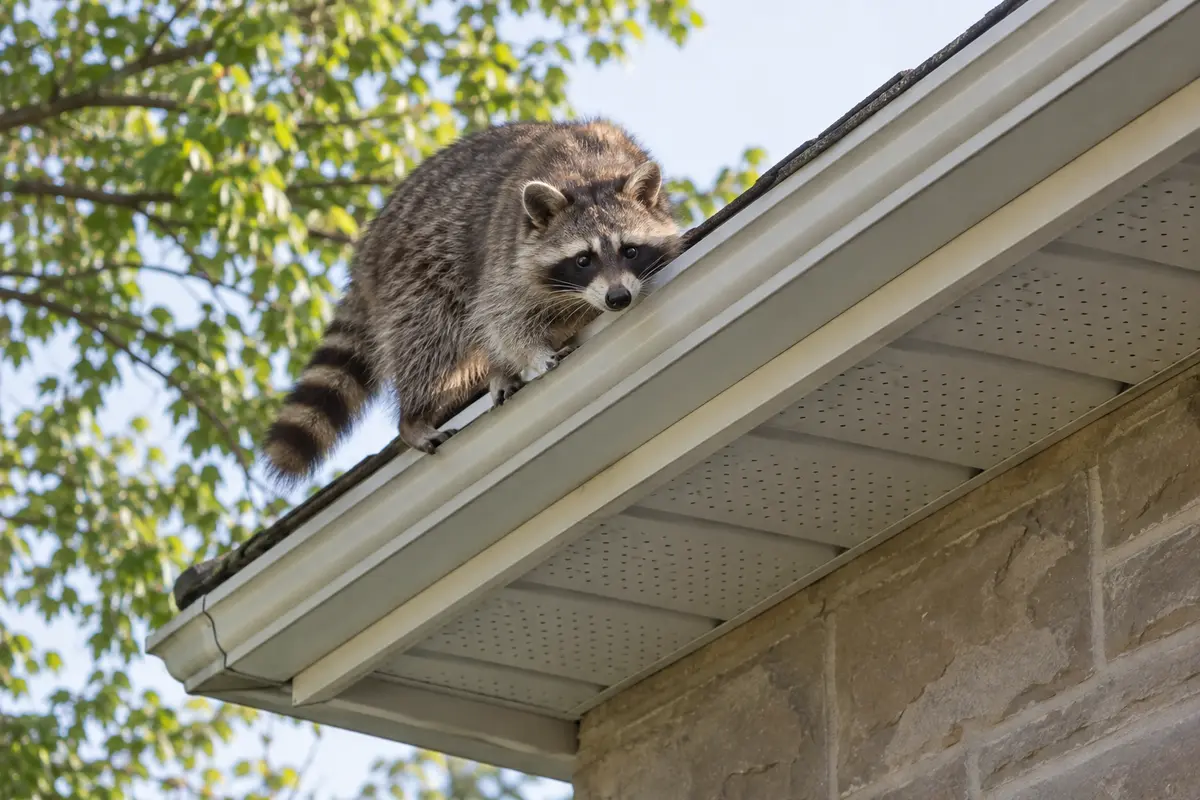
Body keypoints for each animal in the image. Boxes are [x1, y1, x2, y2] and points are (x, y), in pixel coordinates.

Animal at [262, 119, 684, 484]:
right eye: (584, 259)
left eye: (630, 251)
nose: (618, 299)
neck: (590, 173)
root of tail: (368, 247)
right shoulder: (506, 250)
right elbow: (502, 313)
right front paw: (532, 354)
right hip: (416, 269)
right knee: (429, 335)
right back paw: (413, 416)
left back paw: (496, 372)